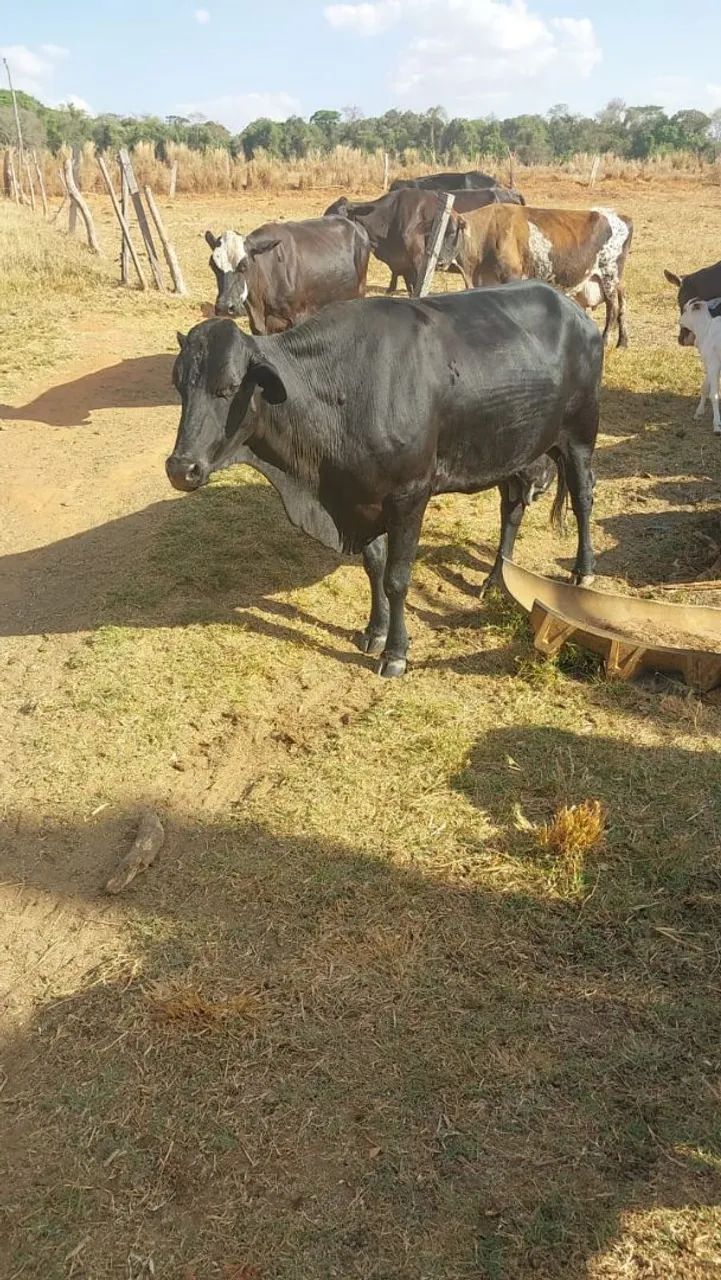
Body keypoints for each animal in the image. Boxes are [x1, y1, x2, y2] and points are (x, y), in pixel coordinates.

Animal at [166, 283, 601, 678]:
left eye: (227, 387)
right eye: (180, 385)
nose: (180, 468)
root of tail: (573, 308)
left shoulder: (409, 496)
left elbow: (396, 578)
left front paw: (395, 653)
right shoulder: (360, 497)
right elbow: (373, 566)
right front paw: (374, 631)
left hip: (579, 436)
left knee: (583, 498)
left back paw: (582, 572)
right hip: (512, 451)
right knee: (511, 508)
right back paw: (495, 579)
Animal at [205, 217, 370, 335]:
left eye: (244, 265)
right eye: (212, 265)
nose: (225, 307)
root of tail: (356, 226)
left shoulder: (299, 317)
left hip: (359, 292)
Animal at [455, 205, 633, 348]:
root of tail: (622, 216)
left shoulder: (512, 276)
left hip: (609, 276)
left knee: (613, 309)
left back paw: (605, 341)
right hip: (614, 280)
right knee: (622, 301)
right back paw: (622, 342)